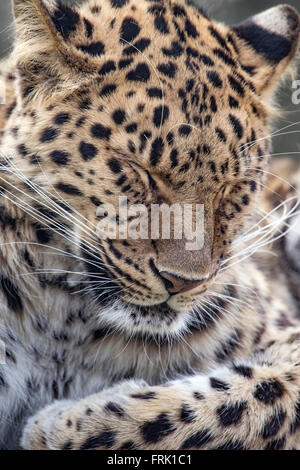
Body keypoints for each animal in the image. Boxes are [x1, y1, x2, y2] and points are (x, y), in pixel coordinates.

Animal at [0, 0, 300, 450]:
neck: (66, 327)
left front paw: (64, 427)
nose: (183, 282)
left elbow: (255, 399)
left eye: (233, 188)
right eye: (139, 172)